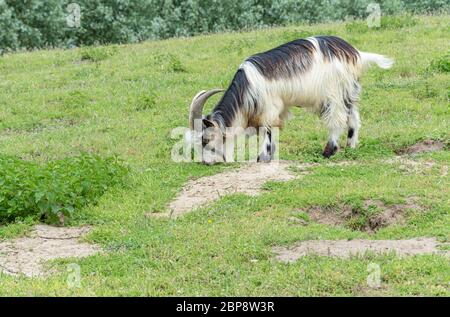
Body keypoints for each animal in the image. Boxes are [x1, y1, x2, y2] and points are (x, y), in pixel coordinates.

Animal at [188, 35, 392, 163]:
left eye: (205, 140)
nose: (206, 163)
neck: (245, 89)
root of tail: (356, 54)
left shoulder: (269, 108)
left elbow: (267, 129)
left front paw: (262, 158)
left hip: (333, 93)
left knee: (338, 119)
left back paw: (328, 151)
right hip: (348, 92)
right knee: (353, 118)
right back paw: (350, 146)